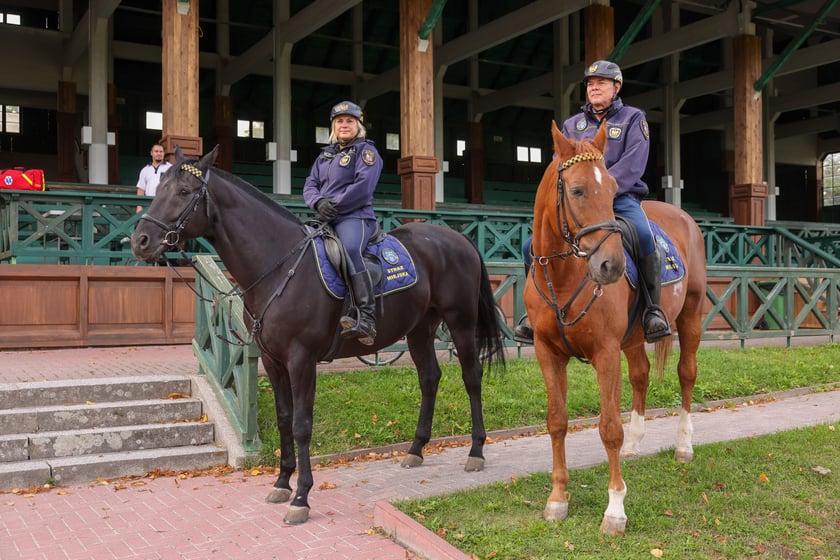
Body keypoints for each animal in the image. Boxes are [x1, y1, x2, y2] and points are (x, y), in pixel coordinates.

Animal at [131, 146, 505, 525]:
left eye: (183, 192)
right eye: (158, 189)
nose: (140, 241)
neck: (279, 266)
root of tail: (458, 238)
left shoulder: (301, 359)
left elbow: (301, 424)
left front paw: (302, 497)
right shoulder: (273, 360)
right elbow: (284, 419)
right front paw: (282, 482)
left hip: (461, 322)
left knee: (472, 378)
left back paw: (476, 451)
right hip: (418, 329)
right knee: (429, 378)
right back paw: (416, 449)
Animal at [524, 121, 706, 534]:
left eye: (610, 188)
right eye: (577, 190)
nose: (611, 267)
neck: (564, 276)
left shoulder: (605, 353)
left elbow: (609, 428)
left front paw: (615, 509)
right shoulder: (547, 352)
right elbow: (557, 421)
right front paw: (558, 498)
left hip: (691, 317)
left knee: (686, 374)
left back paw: (684, 446)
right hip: (635, 339)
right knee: (641, 375)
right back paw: (635, 446)